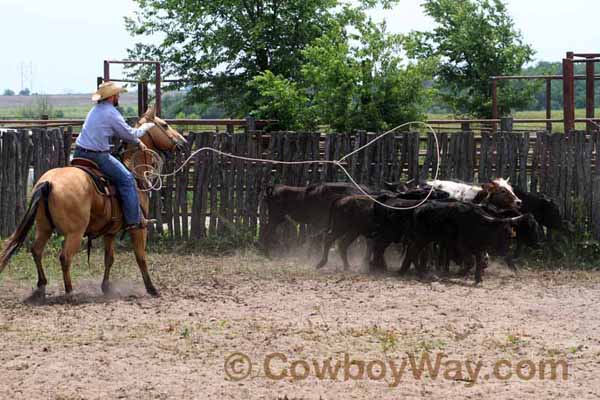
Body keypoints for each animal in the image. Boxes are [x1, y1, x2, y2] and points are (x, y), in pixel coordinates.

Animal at [0, 107, 188, 300]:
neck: (134, 173)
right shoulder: (139, 228)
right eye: (164, 125)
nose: (183, 142)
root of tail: (48, 182)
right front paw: (152, 288)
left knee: (36, 251)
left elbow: (109, 258)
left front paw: (106, 287)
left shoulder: (110, 232)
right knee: (65, 257)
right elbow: (140, 257)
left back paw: (41, 287)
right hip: (74, 233)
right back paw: (70, 293)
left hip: (44, 227)